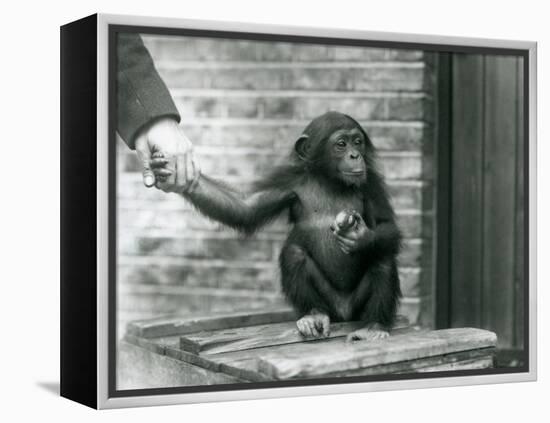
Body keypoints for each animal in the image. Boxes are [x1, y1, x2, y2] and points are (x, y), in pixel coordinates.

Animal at [153, 111, 404, 342]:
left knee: (382, 258)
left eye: (358, 141)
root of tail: (343, 313)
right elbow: (245, 208)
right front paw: (178, 175)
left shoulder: (371, 183)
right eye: (341, 144)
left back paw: (374, 326)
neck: (329, 180)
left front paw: (360, 237)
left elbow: (386, 224)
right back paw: (313, 314)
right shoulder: (287, 182)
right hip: (329, 304)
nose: (355, 155)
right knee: (293, 254)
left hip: (356, 307)